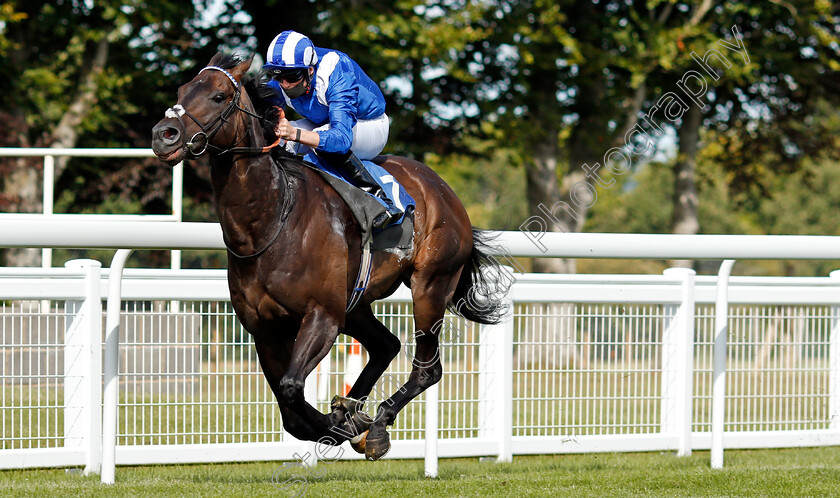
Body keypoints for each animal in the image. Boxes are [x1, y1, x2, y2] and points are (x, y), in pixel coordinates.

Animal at [151, 53, 506, 460]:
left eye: (219, 95)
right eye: (181, 91)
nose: (163, 134)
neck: (272, 220)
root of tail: (445, 191)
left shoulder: (321, 315)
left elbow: (291, 388)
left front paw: (345, 425)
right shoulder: (265, 328)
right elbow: (290, 411)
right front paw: (343, 420)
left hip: (429, 285)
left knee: (427, 369)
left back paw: (377, 426)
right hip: (355, 304)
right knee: (387, 345)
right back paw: (355, 410)